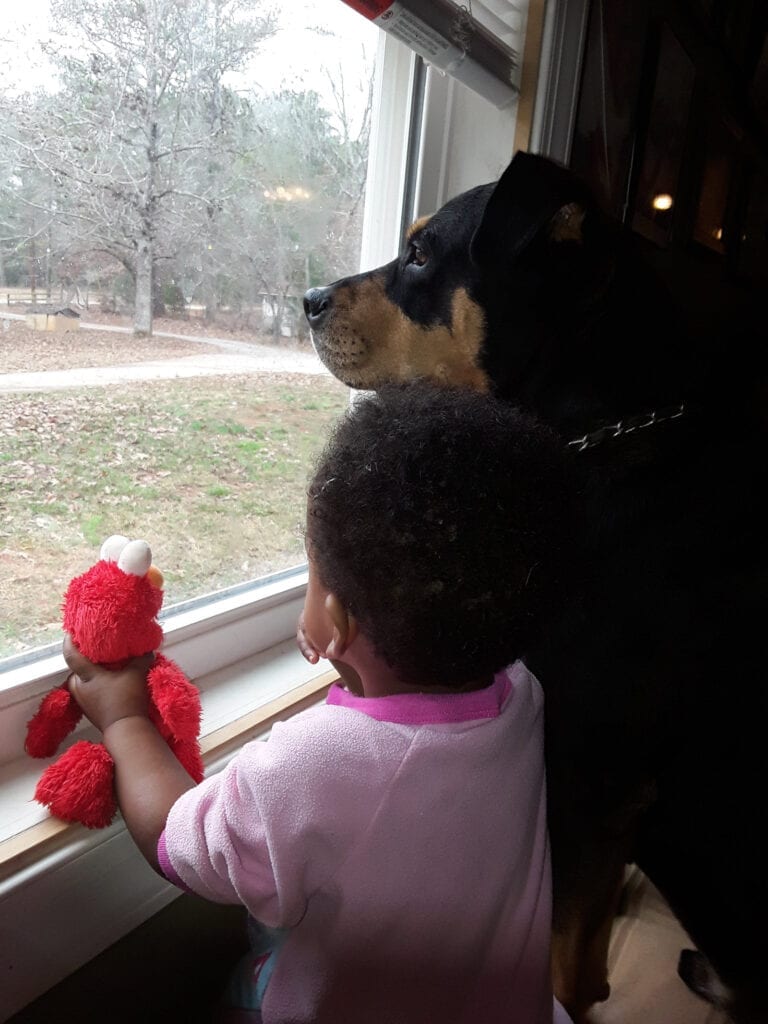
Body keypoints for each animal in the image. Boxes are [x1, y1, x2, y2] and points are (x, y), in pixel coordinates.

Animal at [303, 151, 765, 1024]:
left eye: (422, 254)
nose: (309, 299)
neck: (606, 433)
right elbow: (584, 948)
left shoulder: (591, 773)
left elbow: (562, 952)